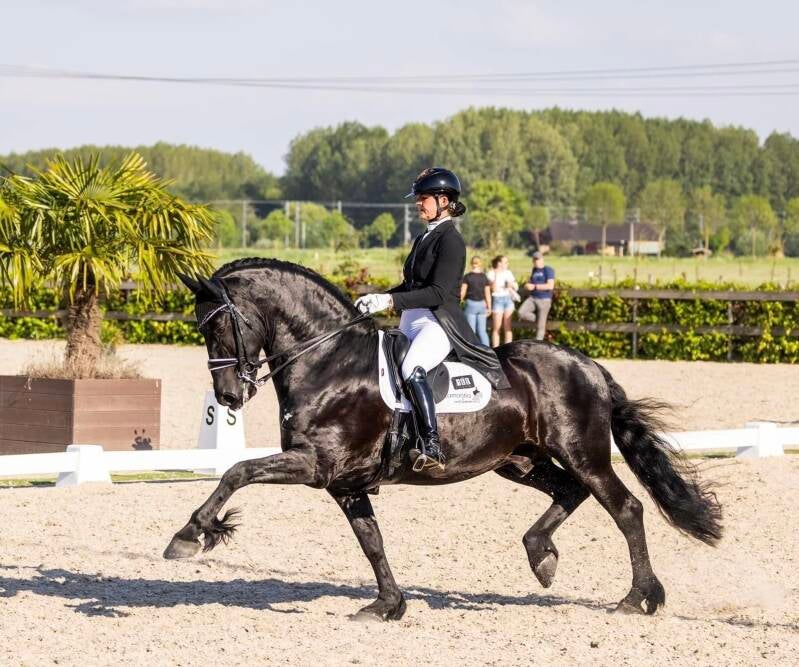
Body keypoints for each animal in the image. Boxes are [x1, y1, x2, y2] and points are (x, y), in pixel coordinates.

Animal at [163, 258, 722, 621]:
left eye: (219, 327)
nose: (229, 397)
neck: (329, 362)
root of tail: (586, 364)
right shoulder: (344, 483)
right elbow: (371, 542)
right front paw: (388, 605)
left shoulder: (315, 464)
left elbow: (237, 470)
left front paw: (190, 534)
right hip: (518, 461)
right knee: (570, 491)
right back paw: (541, 556)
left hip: (582, 453)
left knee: (625, 508)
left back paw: (638, 598)